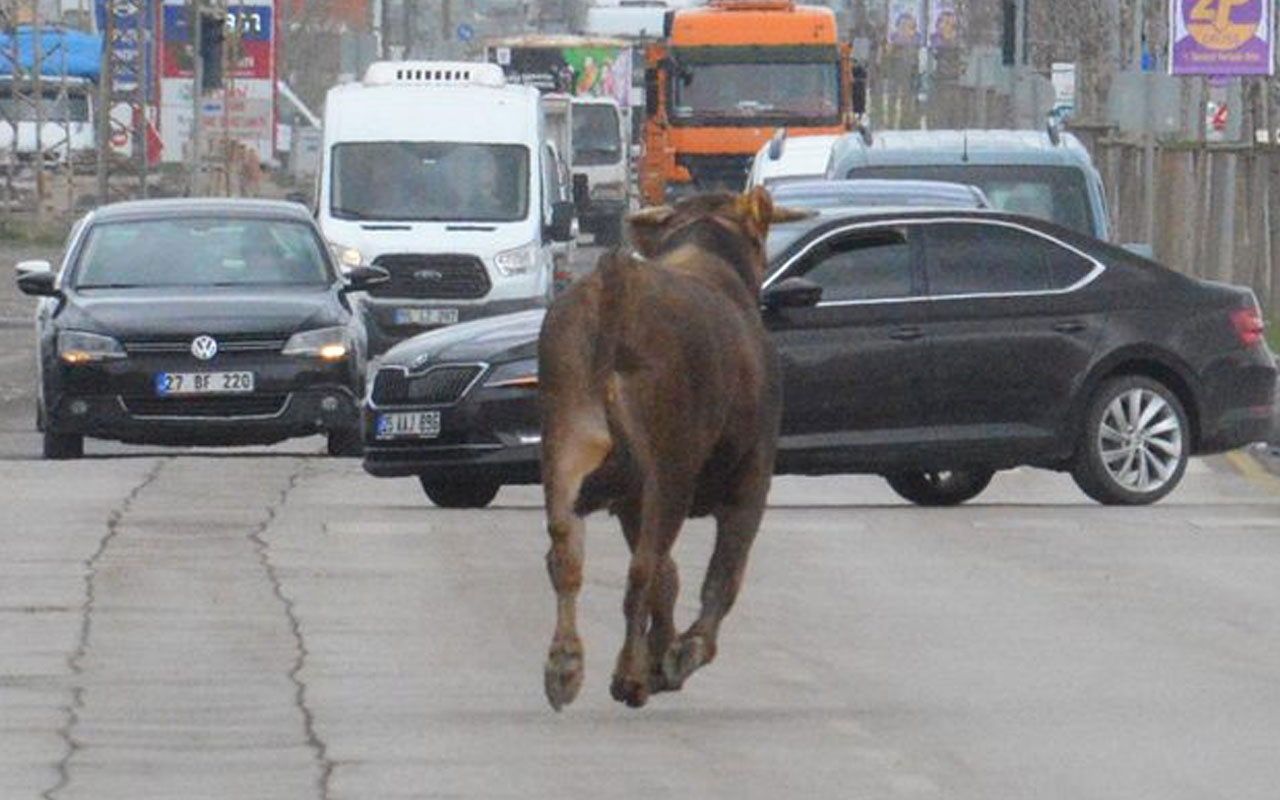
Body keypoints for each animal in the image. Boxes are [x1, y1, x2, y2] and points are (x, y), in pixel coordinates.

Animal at [532, 188, 788, 711]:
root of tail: (616, 282)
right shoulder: (753, 477)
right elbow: (721, 576)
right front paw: (680, 653)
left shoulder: (630, 500)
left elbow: (671, 578)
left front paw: (663, 652)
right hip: (668, 470)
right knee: (643, 569)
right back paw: (628, 676)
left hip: (567, 444)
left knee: (566, 556)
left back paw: (565, 667)